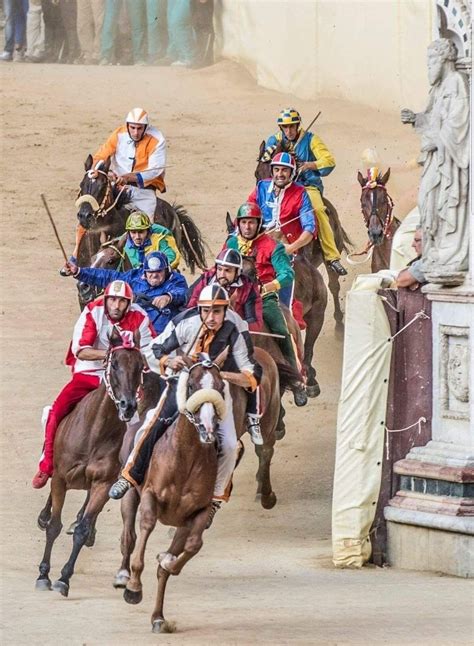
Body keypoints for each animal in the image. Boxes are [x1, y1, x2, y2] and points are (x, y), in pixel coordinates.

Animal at [35, 332, 145, 600]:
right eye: (114, 364)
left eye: (140, 366)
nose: (128, 405)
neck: (95, 431)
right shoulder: (61, 478)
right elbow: (54, 526)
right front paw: (43, 575)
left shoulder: (103, 483)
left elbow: (83, 529)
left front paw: (63, 579)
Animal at [119, 352, 286, 636]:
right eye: (192, 385)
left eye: (220, 386)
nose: (208, 428)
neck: (184, 459)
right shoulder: (150, 494)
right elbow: (147, 525)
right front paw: (134, 587)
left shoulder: (197, 512)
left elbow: (192, 546)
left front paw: (167, 561)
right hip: (131, 491)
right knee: (129, 534)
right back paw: (123, 575)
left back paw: (158, 617)